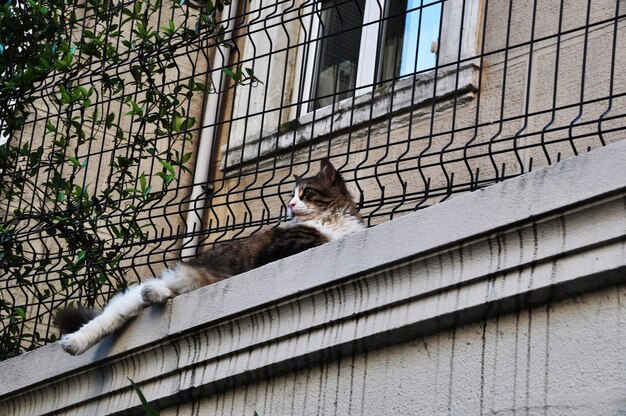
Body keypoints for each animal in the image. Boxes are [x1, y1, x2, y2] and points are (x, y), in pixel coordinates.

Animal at [56, 158, 366, 354]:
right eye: (292, 196)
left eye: (306, 193)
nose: (289, 205)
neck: (332, 220)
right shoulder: (281, 248)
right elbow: (316, 241)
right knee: (106, 317)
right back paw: (73, 343)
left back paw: (152, 294)